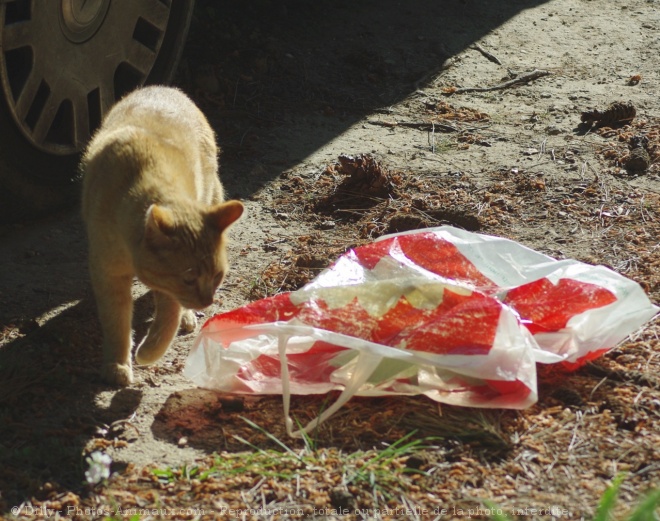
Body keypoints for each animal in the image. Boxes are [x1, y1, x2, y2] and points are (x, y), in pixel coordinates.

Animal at [81, 85, 244, 386]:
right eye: (189, 278)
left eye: (218, 276)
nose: (208, 301)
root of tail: (163, 87)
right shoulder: (108, 273)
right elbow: (116, 320)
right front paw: (117, 364)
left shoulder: (167, 288)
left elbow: (168, 317)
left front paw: (148, 352)